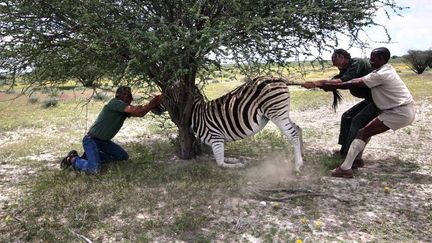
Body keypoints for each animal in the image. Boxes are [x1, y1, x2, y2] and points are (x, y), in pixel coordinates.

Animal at [155, 76, 320, 171]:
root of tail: (279, 79)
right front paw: (236, 159)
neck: (197, 113)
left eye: (166, 94)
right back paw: (302, 156)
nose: (154, 108)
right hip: (282, 113)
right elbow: (220, 158)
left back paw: (297, 165)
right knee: (298, 128)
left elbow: (220, 163)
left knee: (293, 133)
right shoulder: (217, 141)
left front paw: (239, 165)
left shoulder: (216, 138)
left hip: (276, 113)